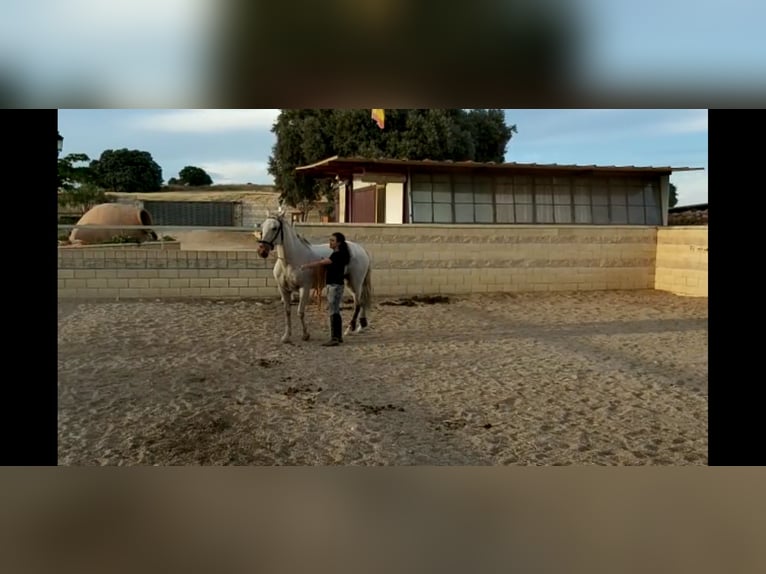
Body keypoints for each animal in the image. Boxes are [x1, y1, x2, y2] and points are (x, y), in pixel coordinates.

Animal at [255, 212, 376, 346]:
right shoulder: (284, 290)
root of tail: (361, 249)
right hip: (351, 283)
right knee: (361, 302)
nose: (262, 251)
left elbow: (300, 312)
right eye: (262, 227)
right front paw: (286, 337)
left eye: (275, 228)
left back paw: (350, 329)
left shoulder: (304, 288)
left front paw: (305, 335)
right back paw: (361, 327)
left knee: (358, 303)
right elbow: (287, 312)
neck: (290, 262)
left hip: (355, 283)